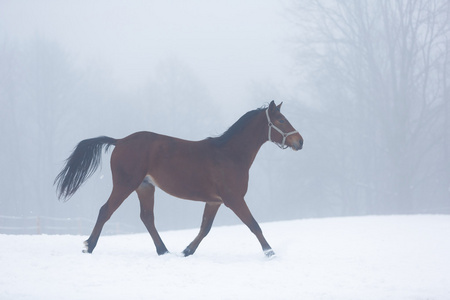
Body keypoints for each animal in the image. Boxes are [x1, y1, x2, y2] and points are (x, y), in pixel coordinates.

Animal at [55, 101, 302, 258]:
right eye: (281, 120)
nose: (300, 141)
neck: (230, 154)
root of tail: (120, 141)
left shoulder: (214, 201)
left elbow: (205, 228)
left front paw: (186, 251)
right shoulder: (234, 199)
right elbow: (254, 225)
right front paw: (270, 253)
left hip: (145, 187)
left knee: (147, 218)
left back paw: (163, 250)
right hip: (125, 184)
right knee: (105, 211)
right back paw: (89, 246)